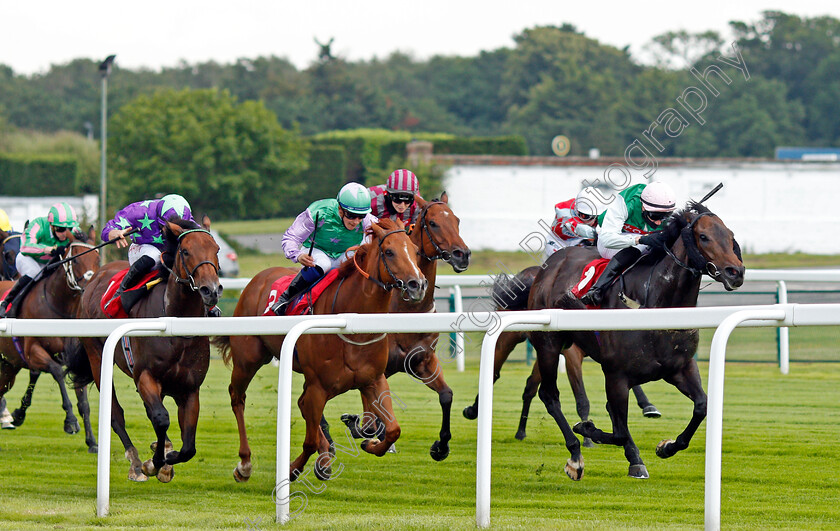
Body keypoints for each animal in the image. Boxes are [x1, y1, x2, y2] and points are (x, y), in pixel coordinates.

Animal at [0, 235, 100, 450]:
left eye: (97, 259)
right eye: (75, 261)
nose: (90, 286)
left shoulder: (74, 360)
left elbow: (84, 402)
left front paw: (92, 441)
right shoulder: (32, 352)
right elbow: (57, 372)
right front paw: (70, 421)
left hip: (9, 365)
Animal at [65, 218, 221, 484]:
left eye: (217, 250)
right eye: (185, 251)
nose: (210, 290)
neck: (174, 323)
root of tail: (95, 279)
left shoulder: (190, 388)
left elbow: (189, 446)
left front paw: (168, 458)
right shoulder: (146, 375)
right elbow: (161, 418)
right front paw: (155, 463)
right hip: (97, 356)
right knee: (116, 414)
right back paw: (136, 463)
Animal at [213, 218, 426, 484]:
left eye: (416, 250)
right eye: (389, 251)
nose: (418, 284)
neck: (351, 323)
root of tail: (257, 279)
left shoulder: (373, 379)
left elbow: (393, 429)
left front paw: (370, 445)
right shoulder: (319, 385)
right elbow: (309, 440)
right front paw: (292, 469)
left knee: (302, 404)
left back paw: (324, 459)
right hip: (248, 360)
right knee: (237, 397)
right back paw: (245, 464)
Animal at [342, 194, 472, 462]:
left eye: (457, 220)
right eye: (433, 223)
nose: (462, 254)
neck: (409, 311)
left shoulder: (423, 362)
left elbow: (446, 395)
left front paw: (441, 446)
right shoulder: (377, 367)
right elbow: (371, 413)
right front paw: (364, 430)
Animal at [524, 201, 740, 482]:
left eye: (731, 236)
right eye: (703, 236)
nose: (736, 272)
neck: (657, 306)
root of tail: (552, 262)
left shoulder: (680, 368)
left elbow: (701, 406)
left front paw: (666, 447)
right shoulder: (616, 375)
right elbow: (617, 431)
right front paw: (587, 429)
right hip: (549, 344)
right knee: (550, 396)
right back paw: (575, 456)